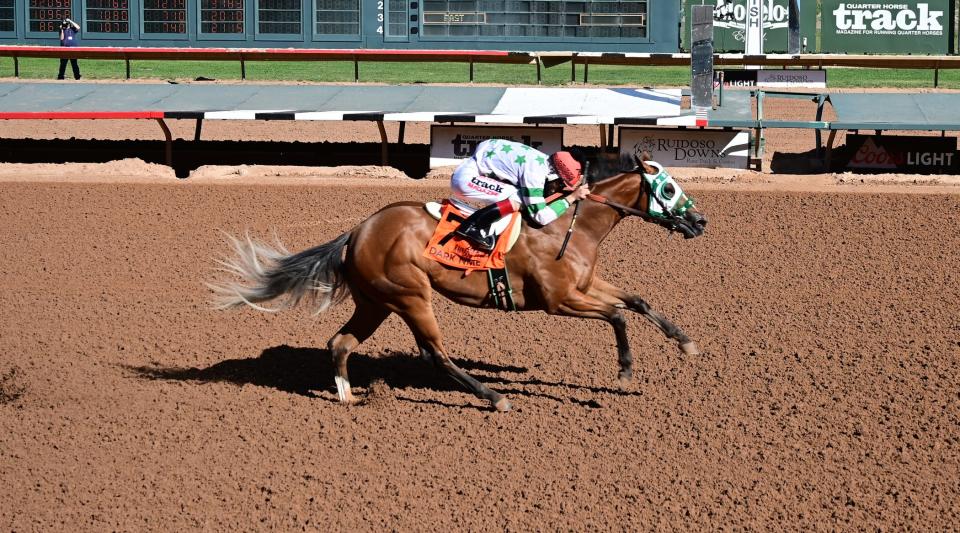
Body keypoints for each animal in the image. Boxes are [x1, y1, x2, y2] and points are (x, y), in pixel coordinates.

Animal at [210, 154, 704, 412]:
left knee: (340, 343)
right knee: (435, 354)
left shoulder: (585, 284)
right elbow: (618, 316)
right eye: (668, 189)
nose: (700, 221)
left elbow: (637, 301)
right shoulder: (560, 299)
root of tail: (356, 232)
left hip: (376, 302)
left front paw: (685, 343)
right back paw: (494, 397)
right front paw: (624, 371)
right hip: (411, 296)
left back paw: (348, 397)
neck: (571, 224)